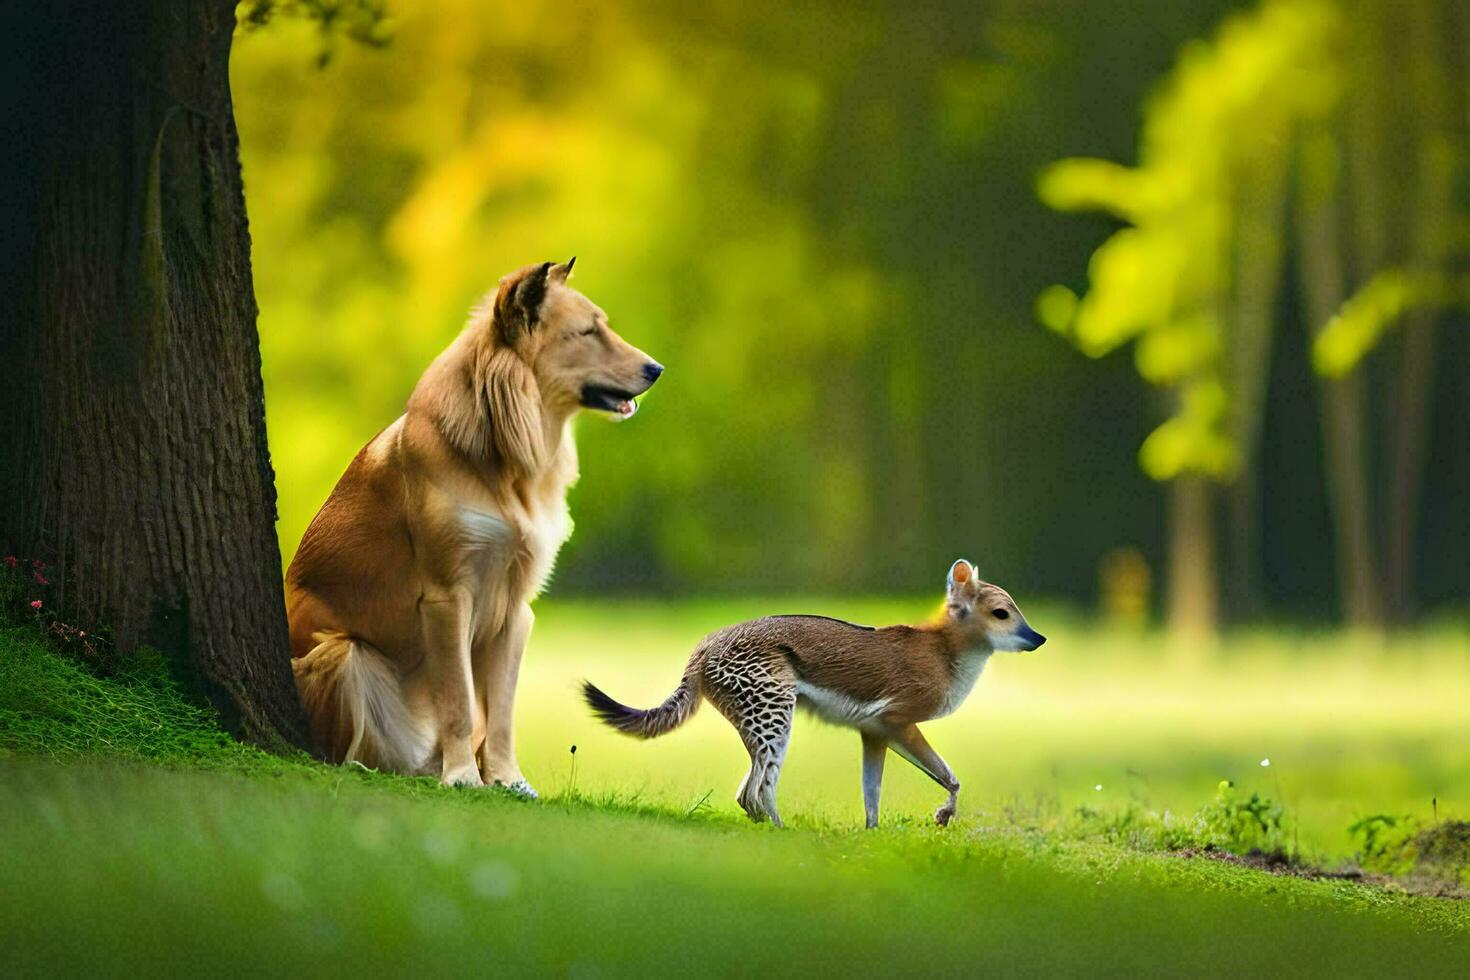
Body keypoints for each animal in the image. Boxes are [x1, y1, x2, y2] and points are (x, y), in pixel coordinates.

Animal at [285, 257, 661, 793]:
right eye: (588, 331)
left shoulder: (516, 606)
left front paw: (507, 779)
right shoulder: (448, 598)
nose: (657, 369)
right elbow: (460, 700)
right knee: (342, 749)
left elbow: (500, 711)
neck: (504, 460)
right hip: (345, 655)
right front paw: (464, 775)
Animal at [582, 558, 1046, 828]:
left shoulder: (875, 733)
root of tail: (705, 643)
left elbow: (873, 797)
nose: (1039, 638)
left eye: (1016, 612)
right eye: (1002, 614)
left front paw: (873, 840)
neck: (946, 653)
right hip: (775, 724)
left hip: (762, 730)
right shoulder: (898, 723)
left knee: (746, 796)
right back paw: (785, 836)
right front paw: (944, 814)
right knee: (757, 791)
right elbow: (951, 779)